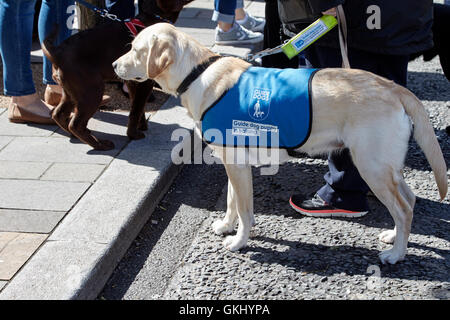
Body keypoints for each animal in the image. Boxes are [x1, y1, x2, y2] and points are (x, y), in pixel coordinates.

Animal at [112, 23, 446, 264]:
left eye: (136, 49)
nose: (114, 65)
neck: (196, 73)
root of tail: (393, 87)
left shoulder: (236, 163)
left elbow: (245, 209)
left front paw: (239, 242)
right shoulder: (233, 162)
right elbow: (232, 201)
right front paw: (226, 226)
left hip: (371, 166)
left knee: (403, 208)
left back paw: (396, 254)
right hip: (387, 167)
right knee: (409, 200)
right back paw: (394, 237)